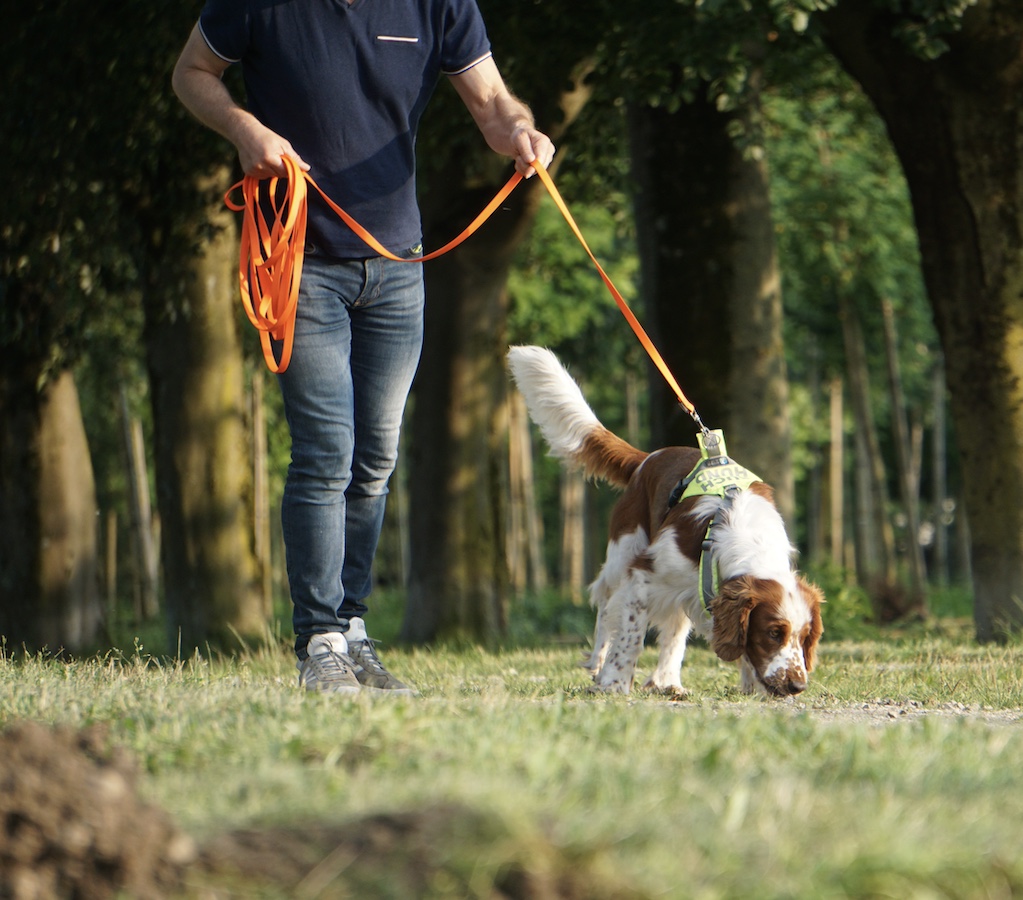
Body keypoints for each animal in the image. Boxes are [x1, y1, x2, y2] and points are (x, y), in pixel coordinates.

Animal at [507, 343, 826, 695]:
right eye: (773, 632)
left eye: (804, 636)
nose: (797, 685)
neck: (749, 539)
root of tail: (648, 458)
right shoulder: (643, 577)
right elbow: (630, 637)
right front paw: (614, 683)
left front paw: (753, 686)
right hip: (624, 550)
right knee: (605, 603)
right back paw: (598, 663)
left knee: (674, 629)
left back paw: (668, 681)